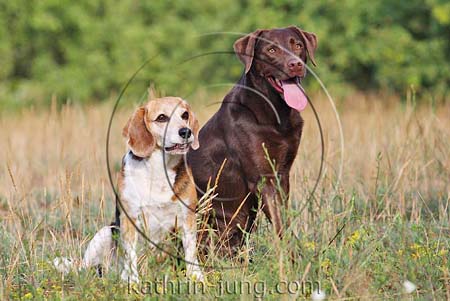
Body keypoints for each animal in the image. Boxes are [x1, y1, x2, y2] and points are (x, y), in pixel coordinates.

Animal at [53, 96, 205, 282]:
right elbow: (130, 254)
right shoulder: (130, 218)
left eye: (185, 115)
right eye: (162, 118)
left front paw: (196, 276)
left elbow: (191, 251)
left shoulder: (187, 217)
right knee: (85, 267)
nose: (186, 132)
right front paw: (132, 281)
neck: (159, 170)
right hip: (106, 231)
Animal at [188, 25, 318, 252]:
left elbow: (284, 220)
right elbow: (280, 227)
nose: (295, 64)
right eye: (271, 50)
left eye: (298, 45)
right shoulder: (263, 179)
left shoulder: (283, 174)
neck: (276, 113)